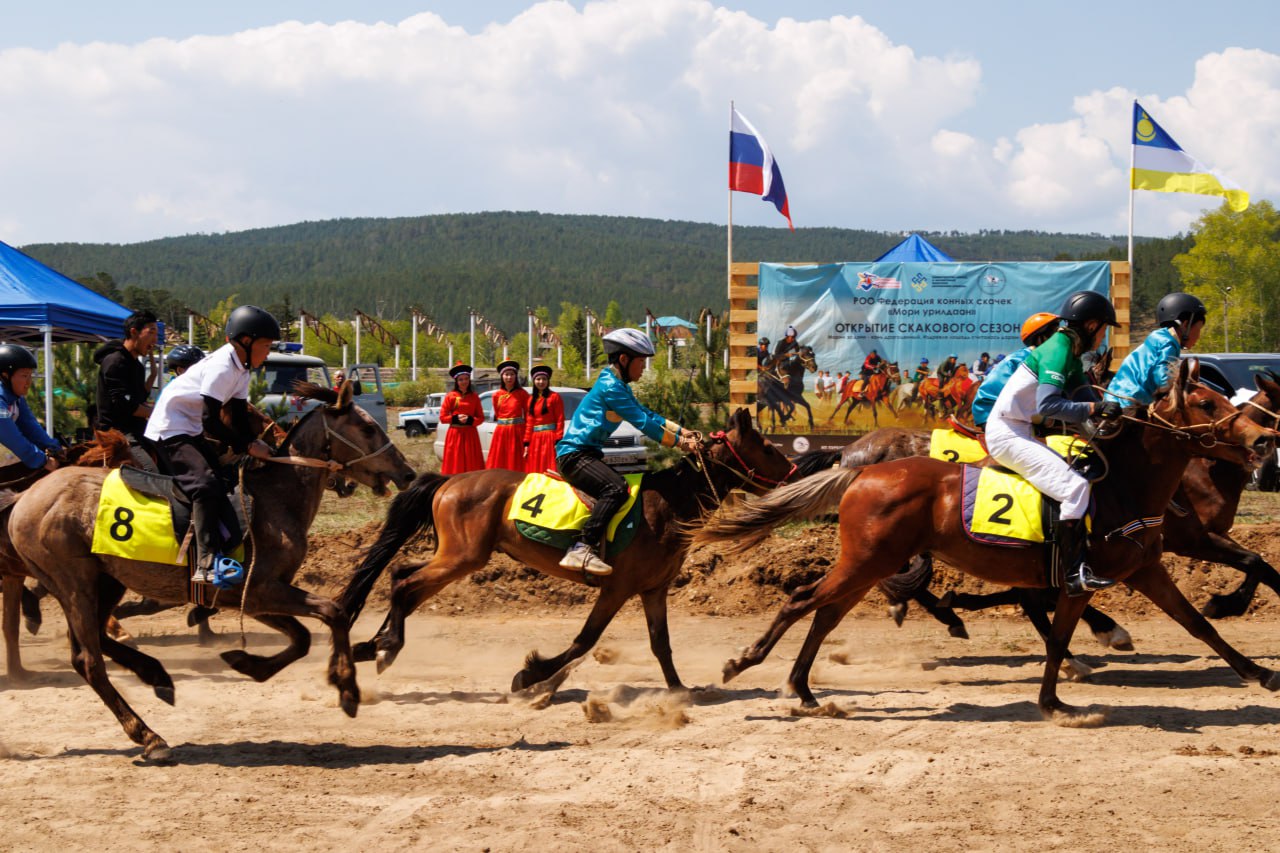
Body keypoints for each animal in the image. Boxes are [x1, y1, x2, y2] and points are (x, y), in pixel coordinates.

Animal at [6, 379, 414, 758]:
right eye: (368, 428)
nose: (407, 472)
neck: (276, 499)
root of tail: (25, 499)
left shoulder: (255, 598)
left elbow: (301, 637)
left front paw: (246, 663)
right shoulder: (262, 590)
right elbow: (333, 612)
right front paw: (346, 688)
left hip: (106, 581)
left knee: (97, 641)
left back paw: (156, 677)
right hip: (76, 585)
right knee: (88, 660)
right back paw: (148, 735)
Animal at [340, 409, 798, 696]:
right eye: (768, 447)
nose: (796, 470)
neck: (667, 503)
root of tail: (449, 481)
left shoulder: (653, 590)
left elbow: (661, 643)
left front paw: (679, 689)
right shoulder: (617, 588)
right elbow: (584, 640)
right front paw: (532, 673)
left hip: (454, 557)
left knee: (402, 576)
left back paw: (373, 644)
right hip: (462, 557)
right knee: (406, 586)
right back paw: (386, 646)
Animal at [701, 358, 1280, 717]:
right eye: (1206, 405)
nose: (1263, 439)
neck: (1121, 483)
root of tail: (859, 468)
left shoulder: (1143, 569)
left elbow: (1197, 623)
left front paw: (1257, 671)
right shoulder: (1088, 576)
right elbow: (1058, 631)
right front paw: (1059, 691)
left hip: (868, 565)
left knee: (824, 614)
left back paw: (805, 686)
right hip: (864, 562)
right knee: (802, 600)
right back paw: (745, 663)